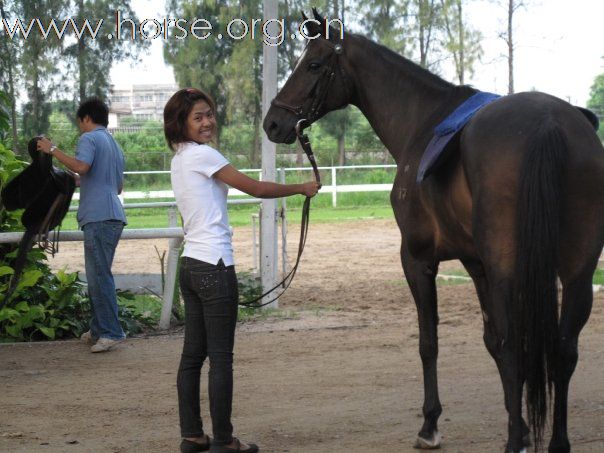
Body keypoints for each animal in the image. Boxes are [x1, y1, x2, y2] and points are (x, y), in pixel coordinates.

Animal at [264, 10, 604, 452]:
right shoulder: (476, 264)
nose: (273, 122)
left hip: (510, 269)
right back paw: (556, 441)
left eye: (314, 64)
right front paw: (525, 426)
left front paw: (431, 425)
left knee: (519, 347)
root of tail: (548, 123)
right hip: (578, 271)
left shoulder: (418, 259)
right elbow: (492, 341)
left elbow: (430, 342)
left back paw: (511, 440)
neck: (422, 121)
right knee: (562, 351)